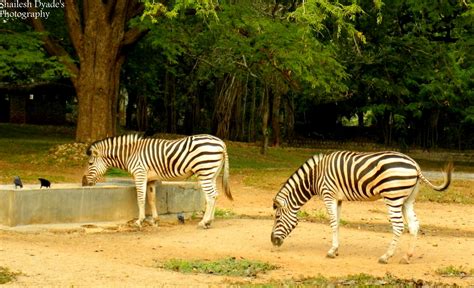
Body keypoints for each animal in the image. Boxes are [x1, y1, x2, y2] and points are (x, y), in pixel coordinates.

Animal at [82, 134, 233, 228]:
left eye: (90, 164)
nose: (83, 183)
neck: (131, 154)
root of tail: (221, 143)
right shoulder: (151, 180)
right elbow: (151, 199)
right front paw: (155, 221)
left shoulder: (140, 174)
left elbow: (140, 199)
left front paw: (139, 221)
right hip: (211, 173)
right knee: (215, 195)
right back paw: (210, 221)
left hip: (204, 171)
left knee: (211, 196)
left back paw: (204, 222)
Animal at [270, 151, 452, 264]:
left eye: (277, 217)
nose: (273, 241)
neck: (315, 176)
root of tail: (415, 165)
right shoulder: (338, 199)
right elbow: (337, 223)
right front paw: (336, 249)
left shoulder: (328, 195)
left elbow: (332, 223)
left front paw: (331, 251)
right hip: (407, 200)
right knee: (414, 225)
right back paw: (407, 257)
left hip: (393, 196)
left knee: (399, 226)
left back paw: (386, 257)